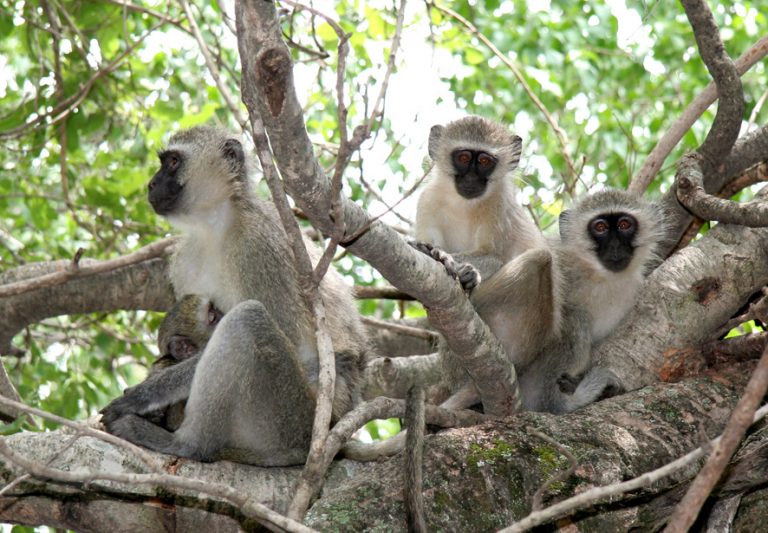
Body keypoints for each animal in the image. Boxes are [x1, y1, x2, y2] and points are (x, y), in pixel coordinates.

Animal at [101, 126, 368, 466]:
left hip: (291, 419)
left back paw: (187, 445)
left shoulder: (261, 246)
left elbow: (300, 348)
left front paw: (144, 395)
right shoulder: (184, 260)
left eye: (173, 162)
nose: (150, 183)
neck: (217, 227)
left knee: (247, 320)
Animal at [413, 115, 545, 283]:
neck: (463, 204)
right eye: (463, 158)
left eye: (484, 161)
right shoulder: (427, 200)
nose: (471, 178)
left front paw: (443, 257)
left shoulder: (501, 204)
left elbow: (493, 258)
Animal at [470, 188, 666, 413]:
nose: (615, 247)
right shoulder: (562, 264)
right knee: (573, 318)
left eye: (625, 225)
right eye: (600, 227)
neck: (599, 276)